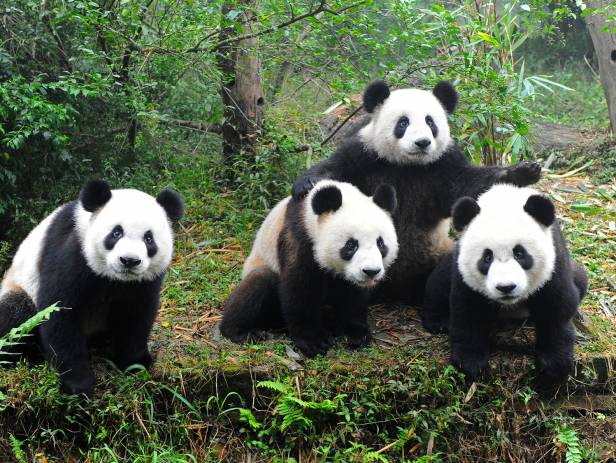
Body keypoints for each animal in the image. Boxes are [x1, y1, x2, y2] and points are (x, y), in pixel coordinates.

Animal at [0, 179, 184, 396]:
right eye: (116, 232)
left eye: (149, 239)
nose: (129, 261)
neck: (114, 278)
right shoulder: (71, 253)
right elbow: (60, 313)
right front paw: (78, 385)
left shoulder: (144, 281)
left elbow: (136, 314)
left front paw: (135, 364)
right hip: (19, 286)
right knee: (16, 314)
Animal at [221, 179, 400, 358]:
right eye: (351, 245)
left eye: (380, 243)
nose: (371, 271)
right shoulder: (300, 238)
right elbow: (300, 289)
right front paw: (314, 342)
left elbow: (353, 294)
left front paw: (356, 333)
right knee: (257, 284)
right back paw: (240, 331)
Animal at [292, 80, 540, 304]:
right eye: (403, 122)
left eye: (430, 122)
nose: (422, 142)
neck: (407, 165)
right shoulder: (365, 155)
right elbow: (336, 169)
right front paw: (306, 184)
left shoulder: (443, 165)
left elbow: (469, 185)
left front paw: (523, 172)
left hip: (437, 251)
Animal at [424, 185, 588, 388]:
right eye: (487, 257)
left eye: (520, 253)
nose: (506, 287)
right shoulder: (464, 271)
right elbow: (467, 309)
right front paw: (470, 362)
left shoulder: (554, 261)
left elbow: (557, 307)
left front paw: (554, 366)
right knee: (439, 283)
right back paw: (437, 321)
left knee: (581, 279)